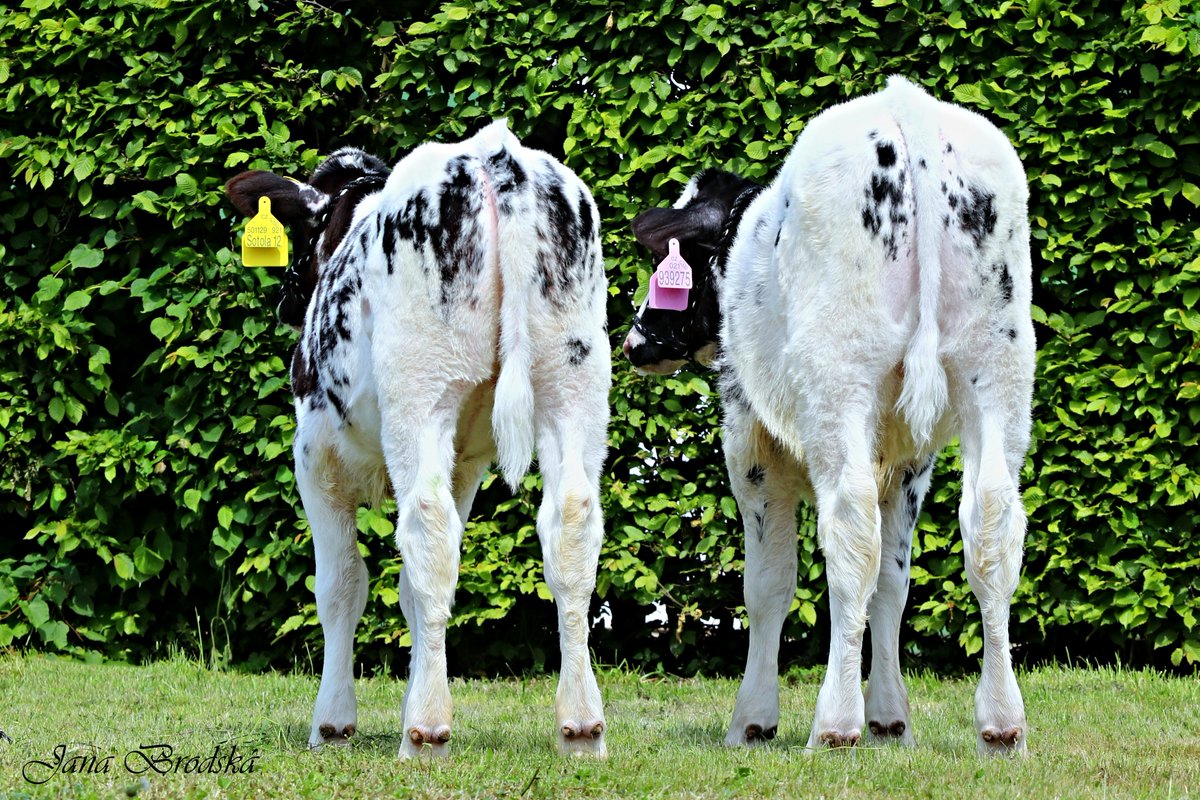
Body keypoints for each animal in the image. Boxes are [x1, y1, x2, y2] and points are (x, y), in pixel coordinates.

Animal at [226, 120, 612, 758]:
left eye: (302, 237)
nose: (287, 301)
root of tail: (493, 154)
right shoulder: (465, 465)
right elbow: (411, 591)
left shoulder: (315, 456)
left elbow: (342, 586)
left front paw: (333, 722)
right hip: (572, 379)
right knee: (571, 521)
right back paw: (581, 726)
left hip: (422, 391)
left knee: (427, 523)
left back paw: (426, 732)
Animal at [622, 77, 1035, 754]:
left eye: (667, 274)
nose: (635, 341)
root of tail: (904, 106)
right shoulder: (909, 461)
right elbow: (894, 583)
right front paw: (891, 719)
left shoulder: (751, 442)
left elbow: (768, 583)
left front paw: (753, 720)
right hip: (996, 370)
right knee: (991, 528)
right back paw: (1001, 723)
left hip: (839, 383)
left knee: (850, 531)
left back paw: (835, 724)